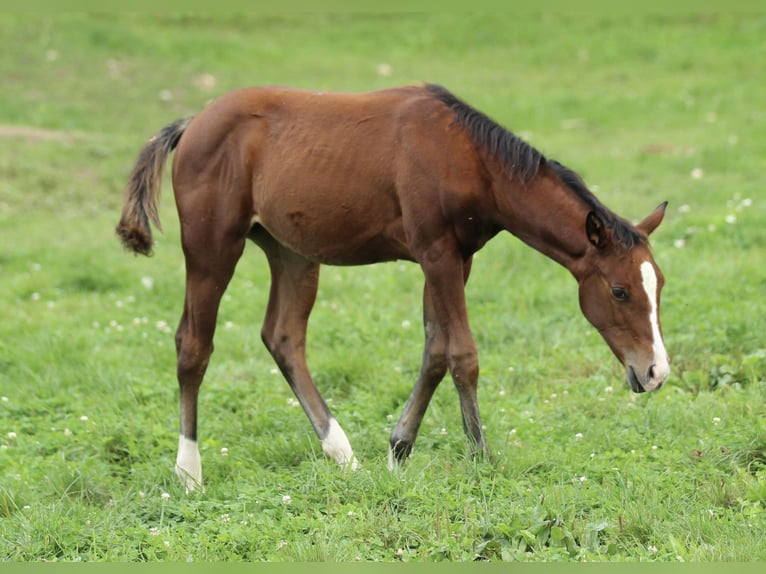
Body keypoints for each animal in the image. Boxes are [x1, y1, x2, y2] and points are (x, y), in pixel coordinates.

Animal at [116, 83, 669, 492]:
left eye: (659, 285)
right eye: (620, 291)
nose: (656, 372)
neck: (469, 157)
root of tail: (193, 124)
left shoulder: (456, 259)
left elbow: (436, 351)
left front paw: (398, 450)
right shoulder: (437, 253)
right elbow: (463, 354)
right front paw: (481, 457)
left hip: (292, 253)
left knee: (283, 337)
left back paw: (342, 454)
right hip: (212, 246)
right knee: (194, 345)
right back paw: (189, 472)